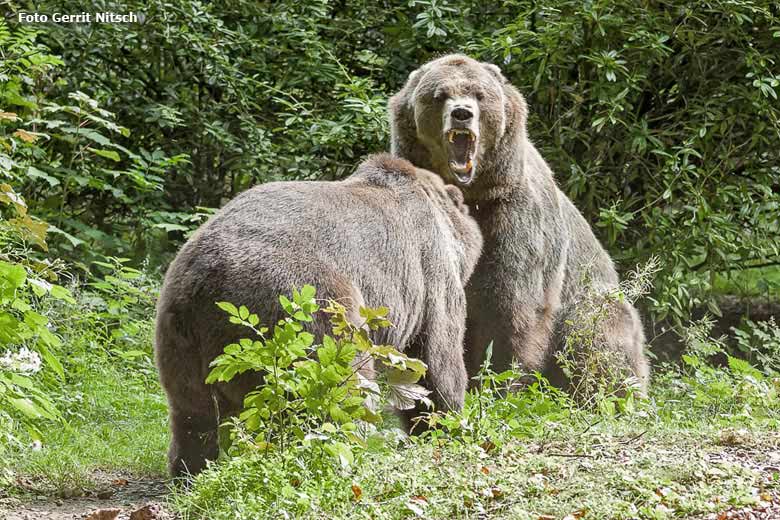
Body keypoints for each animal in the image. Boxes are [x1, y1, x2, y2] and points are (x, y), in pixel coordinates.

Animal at [154, 152, 482, 478]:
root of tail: (205, 285)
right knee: (343, 392)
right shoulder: (430, 274)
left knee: (193, 416)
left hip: (181, 341)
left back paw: (189, 468)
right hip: (307, 308)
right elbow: (437, 361)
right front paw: (449, 424)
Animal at [390, 53, 652, 394]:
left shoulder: (516, 218)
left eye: (479, 94)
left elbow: (512, 309)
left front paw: (498, 381)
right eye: (440, 95)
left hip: (597, 302)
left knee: (595, 332)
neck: (474, 192)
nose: (462, 114)